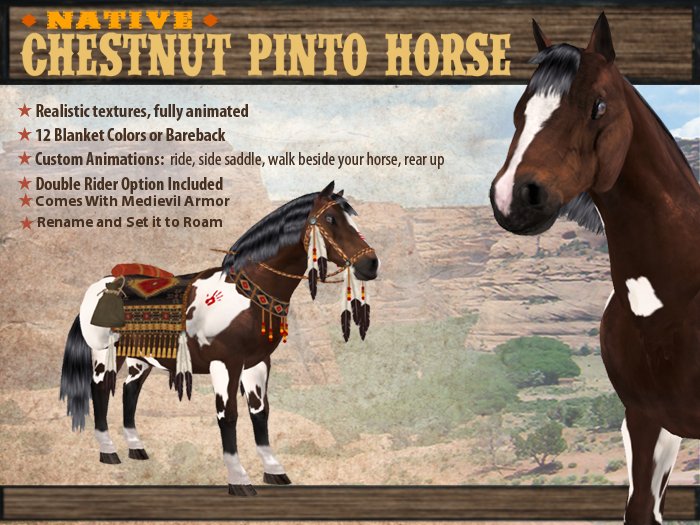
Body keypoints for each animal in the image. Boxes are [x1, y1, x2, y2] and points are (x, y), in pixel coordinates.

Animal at [59, 181, 379, 496]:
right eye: (331, 219)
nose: (371, 264)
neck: (246, 295)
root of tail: (99, 288)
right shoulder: (225, 364)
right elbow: (229, 415)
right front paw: (239, 478)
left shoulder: (257, 364)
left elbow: (259, 412)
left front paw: (273, 470)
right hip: (105, 355)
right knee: (101, 390)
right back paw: (109, 451)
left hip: (142, 360)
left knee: (130, 392)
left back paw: (136, 448)